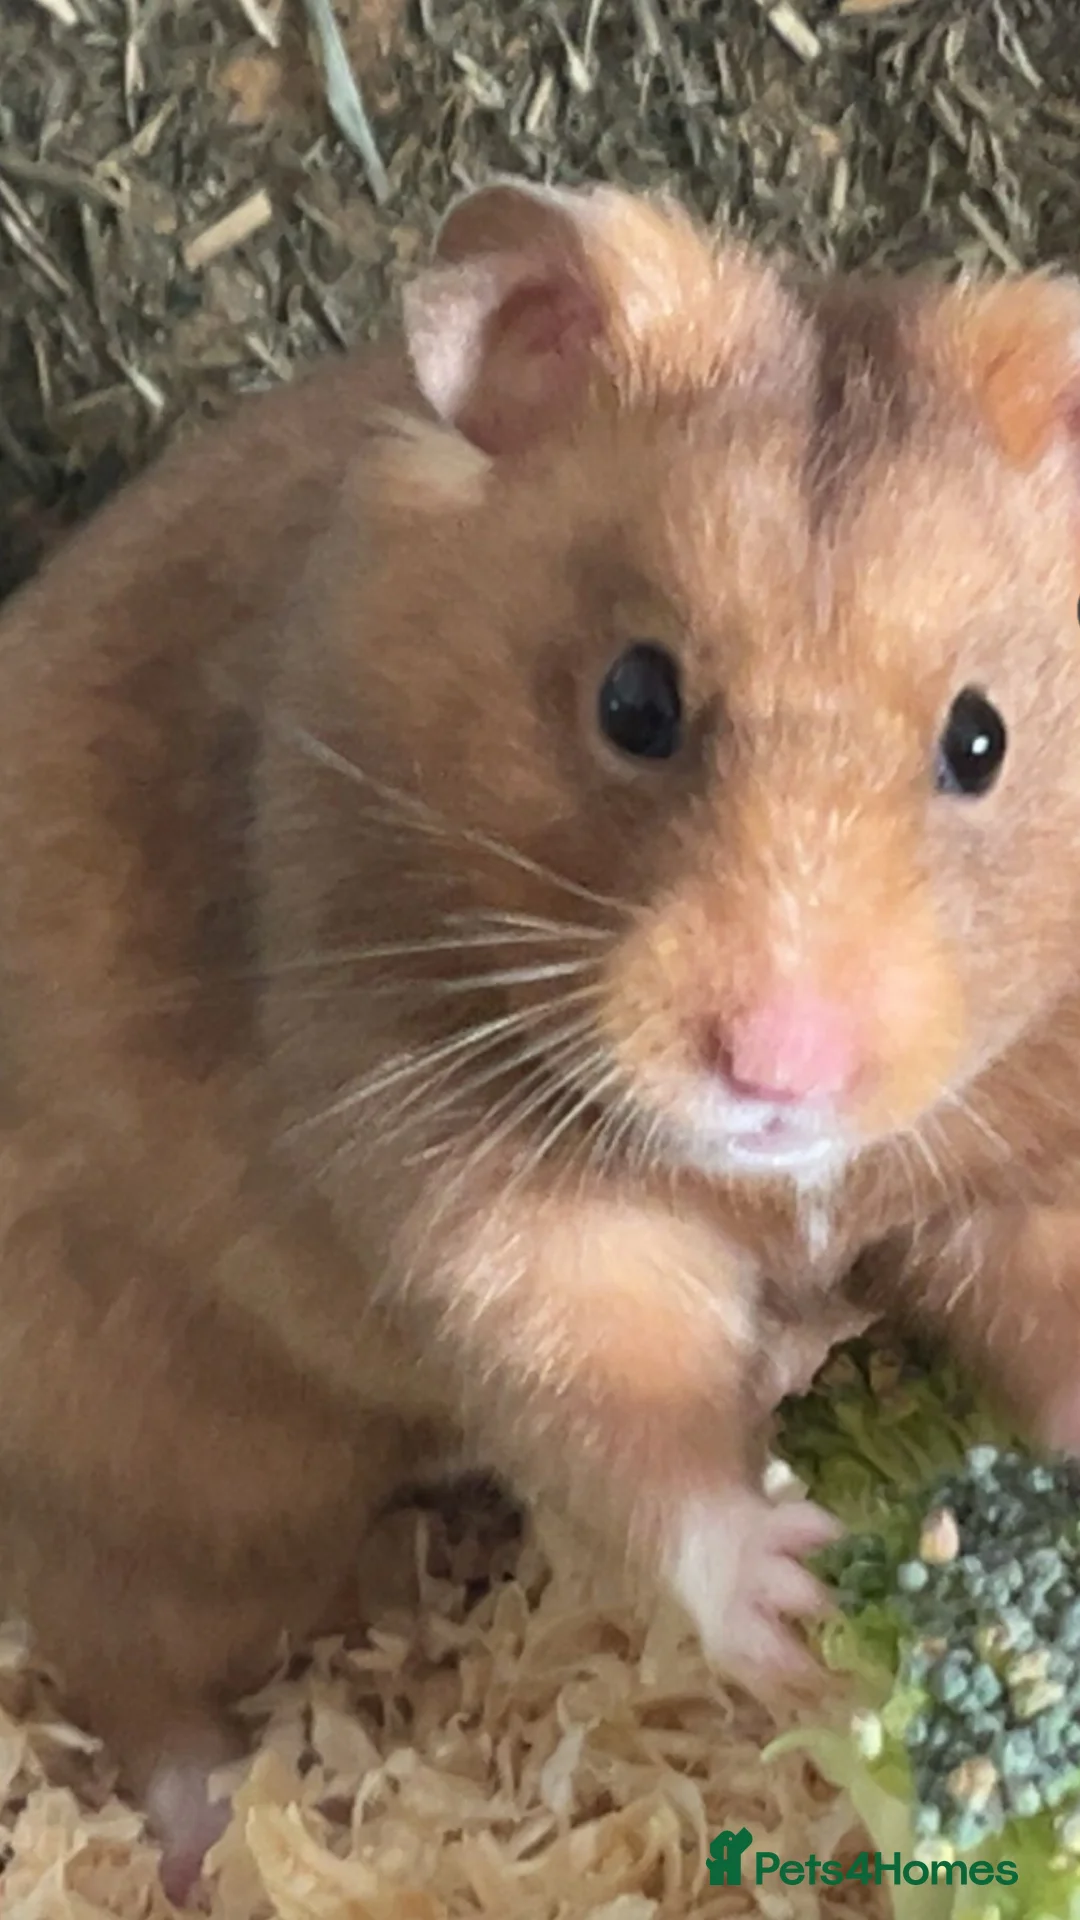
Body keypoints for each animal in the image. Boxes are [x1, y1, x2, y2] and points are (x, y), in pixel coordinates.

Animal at [2, 176, 1080, 1893]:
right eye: (634, 701)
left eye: (980, 741)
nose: (778, 1069)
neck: (782, 1181)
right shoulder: (465, 1163)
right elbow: (618, 1399)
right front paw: (794, 1596)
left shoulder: (1034, 1152)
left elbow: (1043, 1295)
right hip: (162, 1462)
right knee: (127, 1659)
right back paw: (214, 1836)